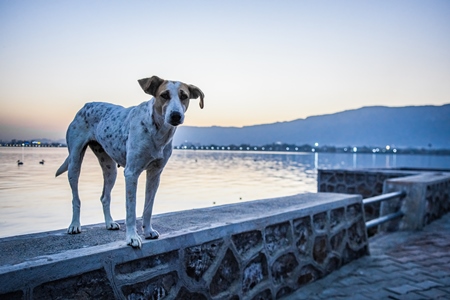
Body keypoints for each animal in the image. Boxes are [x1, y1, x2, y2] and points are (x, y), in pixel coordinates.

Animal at [55, 75, 205, 248]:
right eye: (164, 95)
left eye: (184, 96)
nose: (175, 115)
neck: (157, 131)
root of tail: (86, 105)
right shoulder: (131, 173)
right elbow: (131, 210)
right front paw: (132, 237)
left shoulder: (155, 174)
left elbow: (148, 207)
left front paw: (148, 231)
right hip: (74, 163)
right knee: (76, 198)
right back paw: (74, 225)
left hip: (110, 168)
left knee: (105, 197)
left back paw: (109, 223)